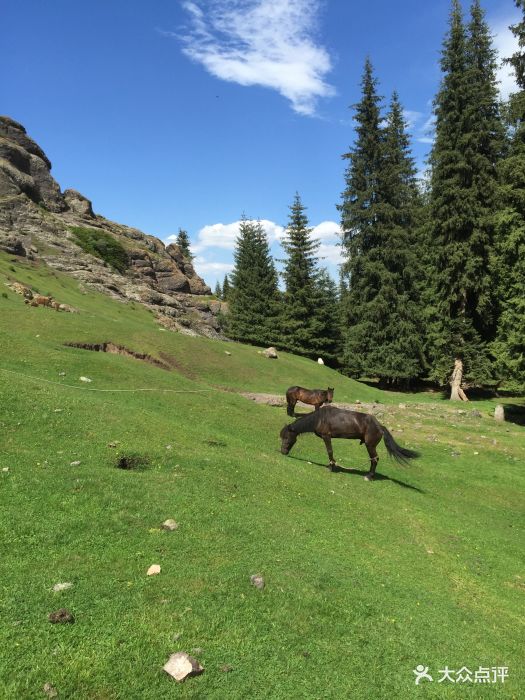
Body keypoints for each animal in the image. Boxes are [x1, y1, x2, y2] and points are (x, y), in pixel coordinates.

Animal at [278, 404, 418, 482]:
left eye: (287, 437)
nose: (283, 451)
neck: (319, 418)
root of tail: (380, 427)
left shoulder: (326, 437)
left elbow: (330, 451)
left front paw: (331, 467)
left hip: (370, 445)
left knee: (375, 459)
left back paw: (369, 476)